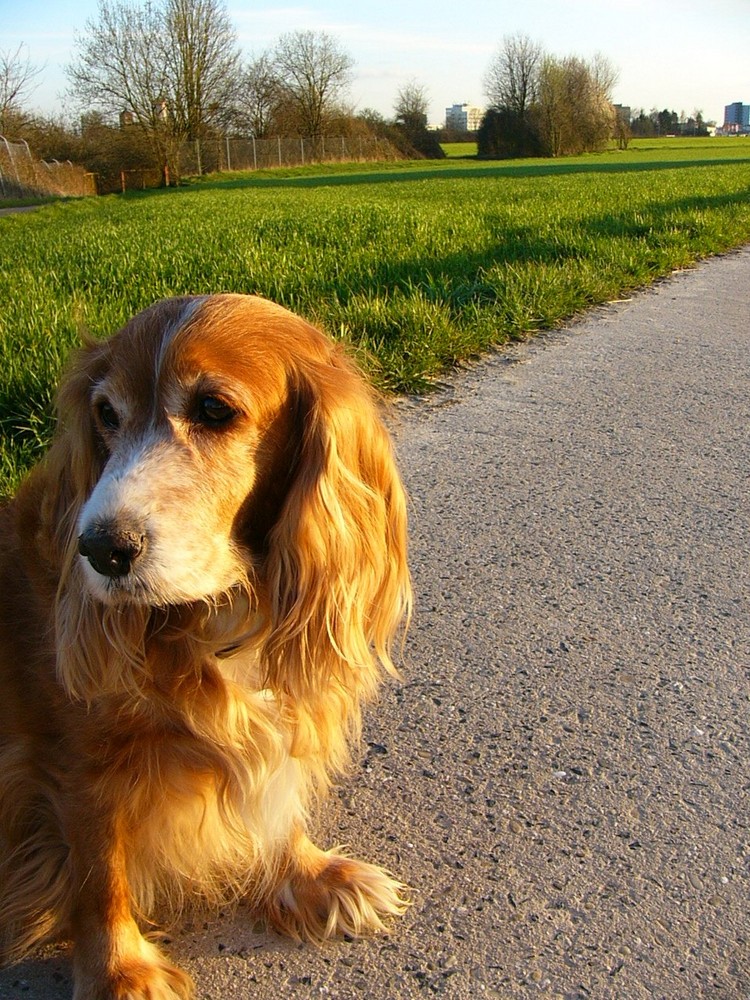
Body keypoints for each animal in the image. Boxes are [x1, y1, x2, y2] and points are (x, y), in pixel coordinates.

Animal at [0, 292, 414, 996]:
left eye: (215, 409)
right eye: (106, 415)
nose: (100, 548)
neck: (213, 611)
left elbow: (276, 788)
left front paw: (307, 873)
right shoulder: (73, 757)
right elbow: (98, 870)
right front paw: (121, 972)